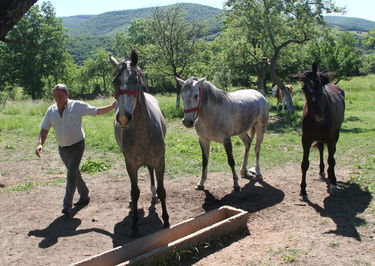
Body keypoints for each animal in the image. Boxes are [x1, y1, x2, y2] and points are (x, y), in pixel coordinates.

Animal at [111, 50, 170, 233]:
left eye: (135, 80)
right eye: (114, 82)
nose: (123, 117)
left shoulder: (159, 161)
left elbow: (162, 190)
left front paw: (166, 221)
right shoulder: (130, 164)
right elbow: (134, 191)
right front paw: (134, 225)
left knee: (151, 173)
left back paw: (153, 195)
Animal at [294, 64, 346, 197]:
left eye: (319, 85)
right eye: (303, 87)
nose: (318, 113)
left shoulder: (331, 138)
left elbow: (331, 160)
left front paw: (333, 184)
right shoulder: (306, 139)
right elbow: (304, 164)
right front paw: (303, 190)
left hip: (335, 134)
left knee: (332, 154)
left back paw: (332, 177)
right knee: (322, 149)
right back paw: (322, 170)